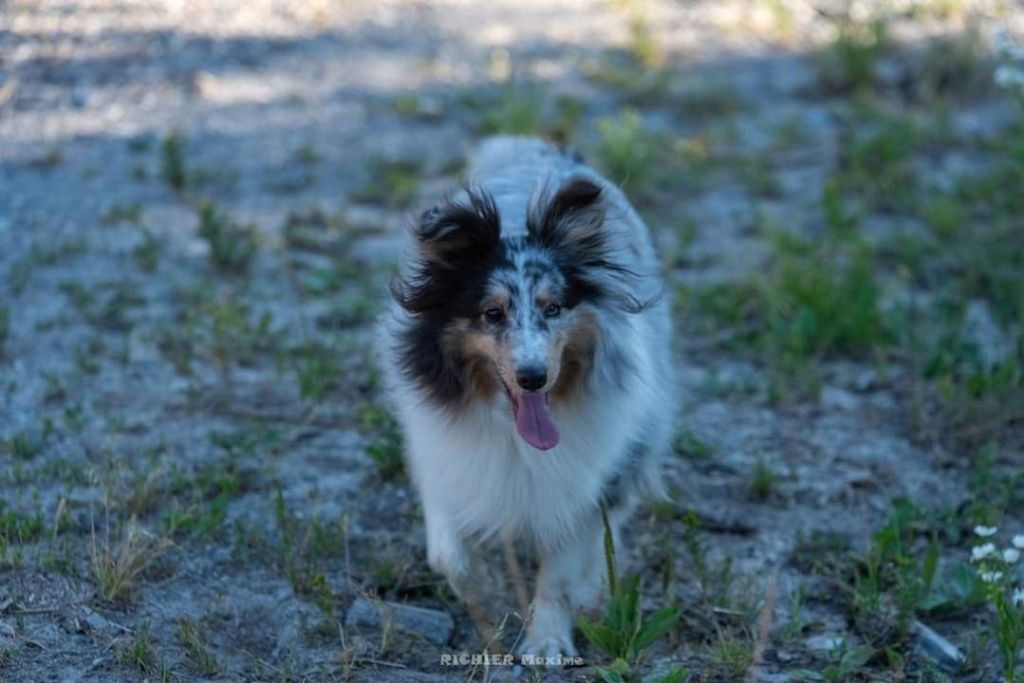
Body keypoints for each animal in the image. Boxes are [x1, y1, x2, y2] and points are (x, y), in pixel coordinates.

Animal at [380, 136, 675, 659]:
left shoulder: (576, 484)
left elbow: (560, 572)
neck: (511, 431)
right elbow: (449, 556)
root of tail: (538, 147)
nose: (534, 377)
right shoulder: (444, 460)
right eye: (491, 313)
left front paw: (547, 643)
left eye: (553, 308)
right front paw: (493, 601)